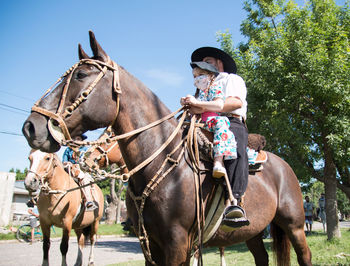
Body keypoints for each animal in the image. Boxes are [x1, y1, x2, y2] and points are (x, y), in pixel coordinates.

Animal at [22, 31, 312, 266]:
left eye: (81, 75)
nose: (31, 127)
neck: (162, 163)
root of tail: (284, 166)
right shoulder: (150, 243)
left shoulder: (177, 242)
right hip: (253, 232)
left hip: (294, 225)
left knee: (304, 255)